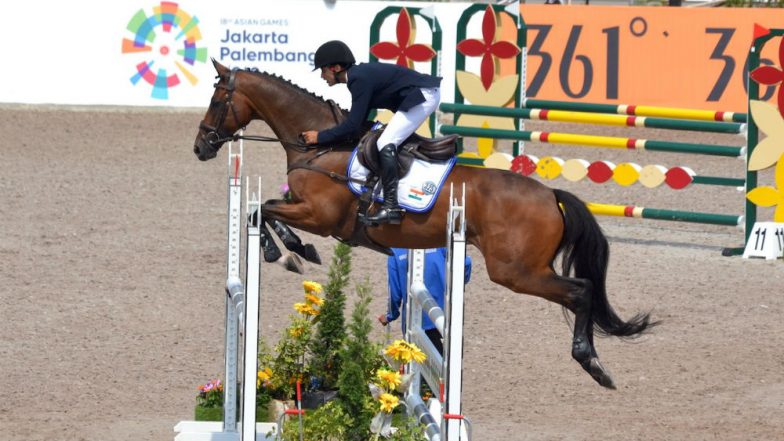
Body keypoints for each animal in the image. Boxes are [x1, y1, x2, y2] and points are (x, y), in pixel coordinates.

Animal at [191, 59, 656, 388]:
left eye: (216, 101)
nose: (200, 147)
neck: (322, 145)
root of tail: (550, 195)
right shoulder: (301, 204)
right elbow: (264, 209)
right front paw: (294, 251)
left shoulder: (320, 216)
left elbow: (263, 211)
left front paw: (287, 251)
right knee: (583, 291)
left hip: (515, 271)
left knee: (581, 291)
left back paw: (592, 362)